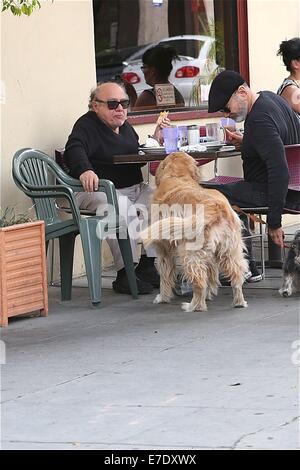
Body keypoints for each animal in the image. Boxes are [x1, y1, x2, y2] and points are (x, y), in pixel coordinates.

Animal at [141, 151, 248, 312]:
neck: (177, 176)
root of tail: (216, 208)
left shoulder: (164, 251)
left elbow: (165, 277)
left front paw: (162, 297)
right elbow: (212, 274)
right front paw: (210, 294)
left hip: (189, 254)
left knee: (199, 282)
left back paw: (194, 305)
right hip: (230, 251)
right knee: (236, 277)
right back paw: (239, 302)